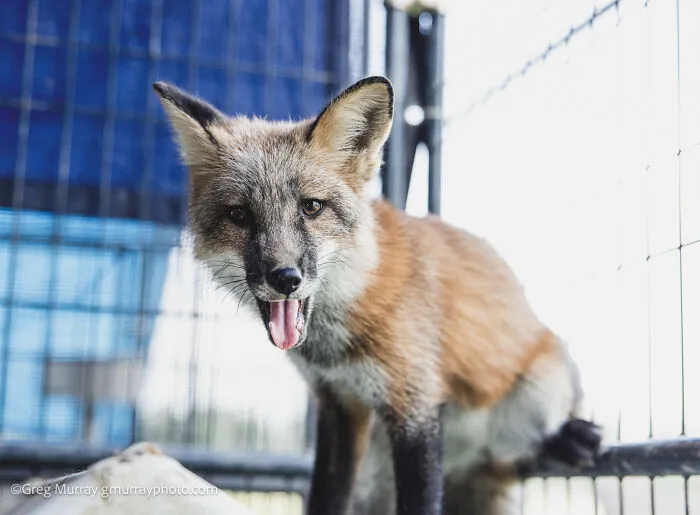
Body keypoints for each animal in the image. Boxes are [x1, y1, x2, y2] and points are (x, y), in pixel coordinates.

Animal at [154, 76, 602, 515]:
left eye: (312, 207)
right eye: (239, 215)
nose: (285, 278)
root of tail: (465, 461)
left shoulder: (415, 405)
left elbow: (420, 502)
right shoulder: (339, 406)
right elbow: (326, 498)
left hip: (537, 396)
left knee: (519, 449)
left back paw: (568, 437)